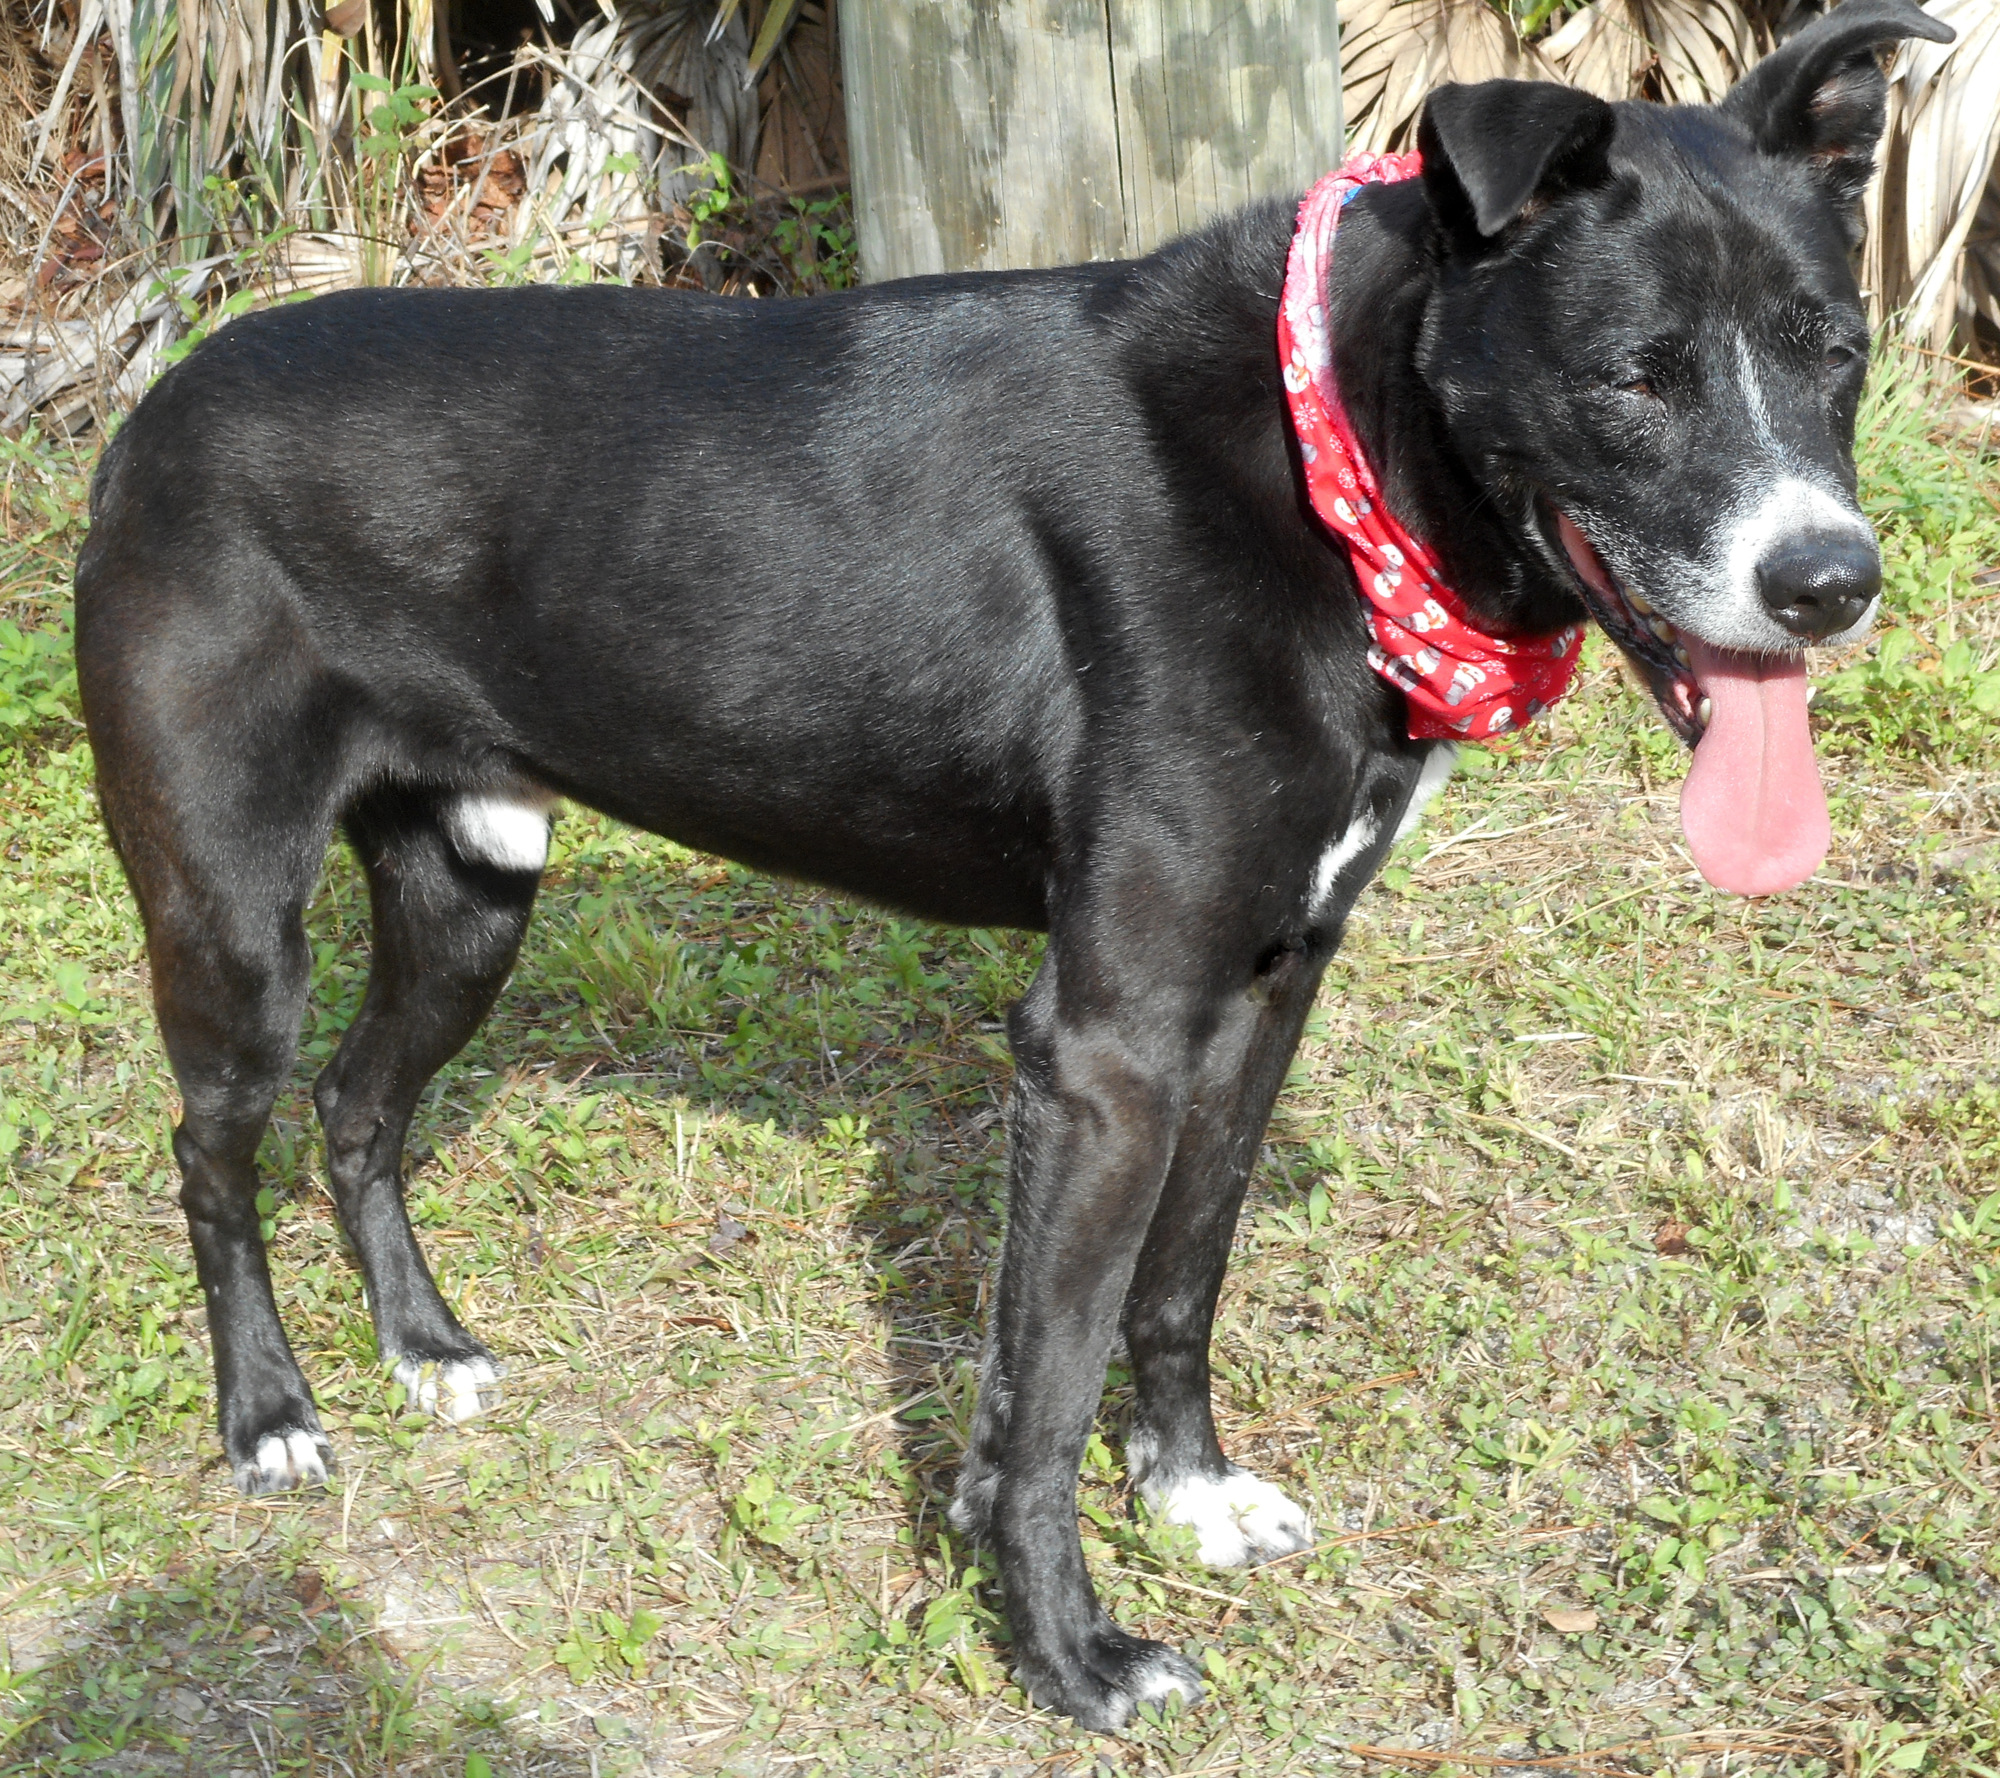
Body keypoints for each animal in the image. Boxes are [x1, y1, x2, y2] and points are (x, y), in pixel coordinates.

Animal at [78, 0, 1952, 1720]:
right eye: (1635, 376)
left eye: (1836, 348)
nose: (1829, 584)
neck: (1325, 456)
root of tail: (154, 407)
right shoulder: (1105, 1048)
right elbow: (1039, 1396)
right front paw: (1068, 1649)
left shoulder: (1261, 993)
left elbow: (1180, 1282)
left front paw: (1190, 1492)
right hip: (234, 917)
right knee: (214, 1145)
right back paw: (271, 1415)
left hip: (474, 880)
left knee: (358, 1105)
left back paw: (422, 1346)